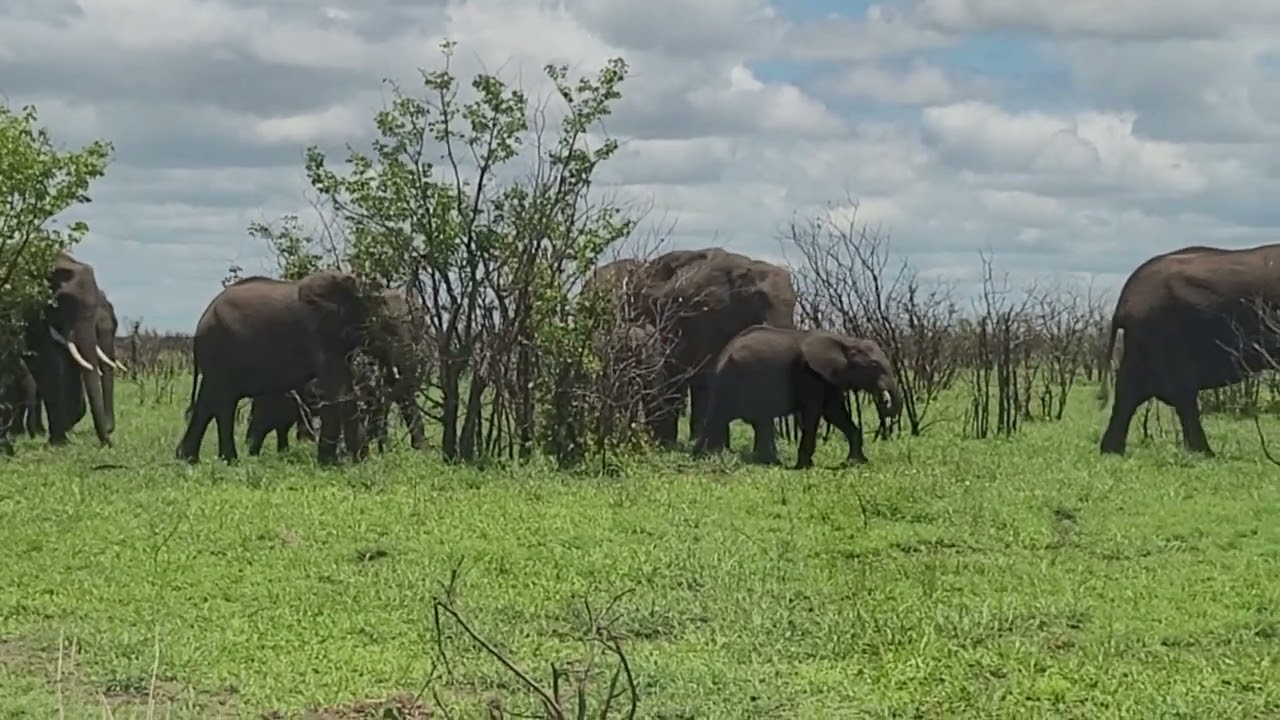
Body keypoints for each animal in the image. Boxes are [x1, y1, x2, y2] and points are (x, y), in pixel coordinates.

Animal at [175, 271, 384, 465]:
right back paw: (223, 459)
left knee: (211, 402)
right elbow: (338, 389)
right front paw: (336, 463)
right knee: (222, 402)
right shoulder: (319, 334)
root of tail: (200, 324)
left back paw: (192, 459)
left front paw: (356, 461)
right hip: (219, 350)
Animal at [692, 325, 903, 469]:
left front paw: (856, 462)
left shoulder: (828, 378)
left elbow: (835, 414)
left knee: (760, 421)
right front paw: (804, 467)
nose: (884, 402)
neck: (844, 341)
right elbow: (814, 413)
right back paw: (701, 457)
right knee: (718, 417)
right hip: (729, 382)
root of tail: (724, 350)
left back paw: (769, 462)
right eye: (874, 365)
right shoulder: (809, 374)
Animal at [1098, 242, 1280, 456]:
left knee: (1131, 389)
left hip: (1146, 336)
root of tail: (1123, 300)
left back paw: (1111, 451)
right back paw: (1204, 453)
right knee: (1180, 392)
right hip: (1161, 330)